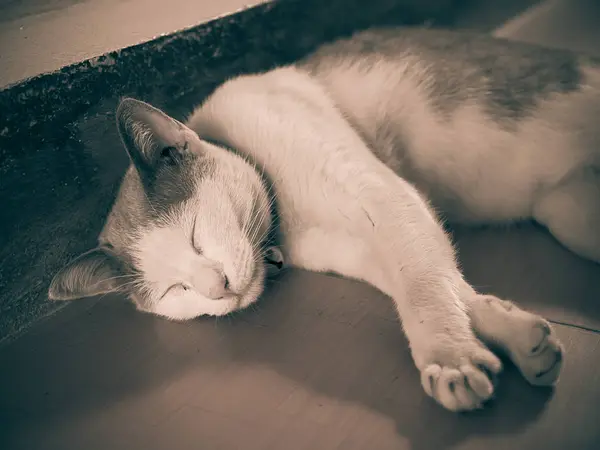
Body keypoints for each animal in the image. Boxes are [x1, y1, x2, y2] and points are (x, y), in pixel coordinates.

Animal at [50, 28, 600, 414]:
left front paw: (451, 357)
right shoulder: (361, 248)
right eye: (173, 291)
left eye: (195, 236)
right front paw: (516, 337)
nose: (216, 288)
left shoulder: (384, 197)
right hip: (569, 213)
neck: (286, 225)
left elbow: (422, 283)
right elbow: (439, 283)